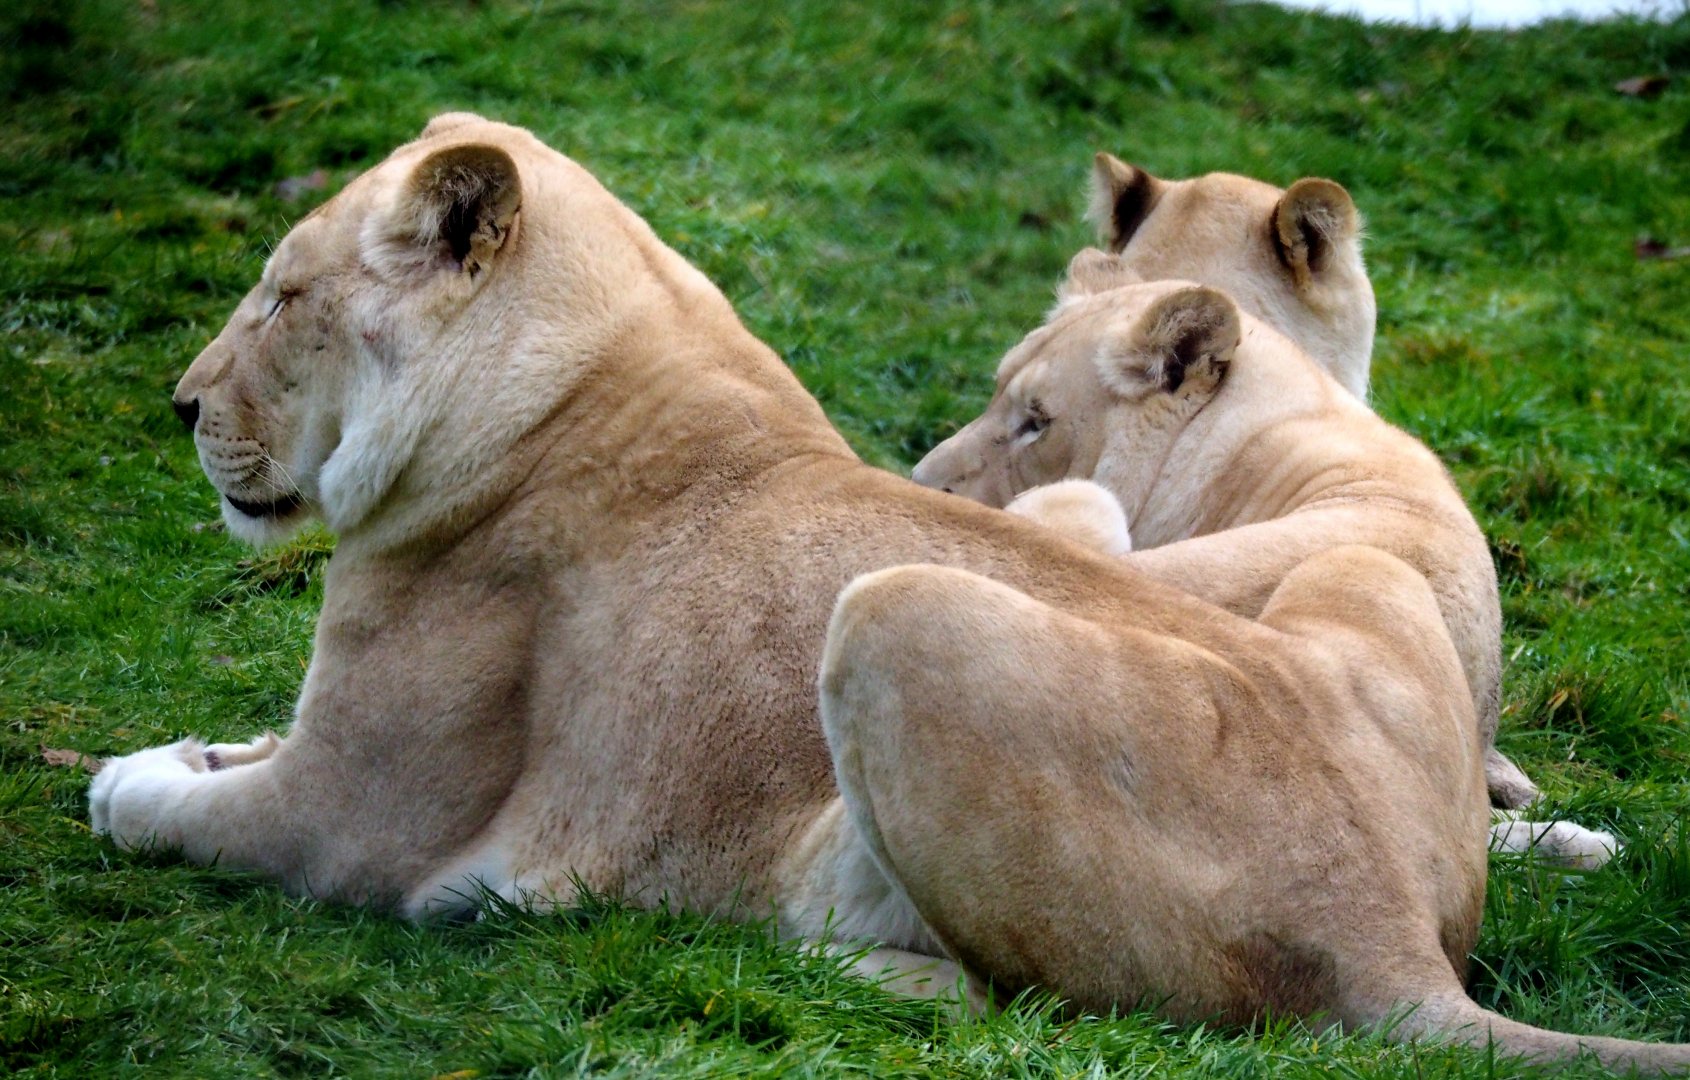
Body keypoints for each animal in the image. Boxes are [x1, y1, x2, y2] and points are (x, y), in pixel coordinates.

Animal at [87, 115, 1677, 1071]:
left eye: (282, 298)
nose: (178, 405)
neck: (577, 380)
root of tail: (1400, 947)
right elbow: (232, 746)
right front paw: (194, 741)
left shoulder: (351, 820)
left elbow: (170, 812)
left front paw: (131, 775)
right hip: (1348, 565)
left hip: (894, 614)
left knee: (1049, 1009)